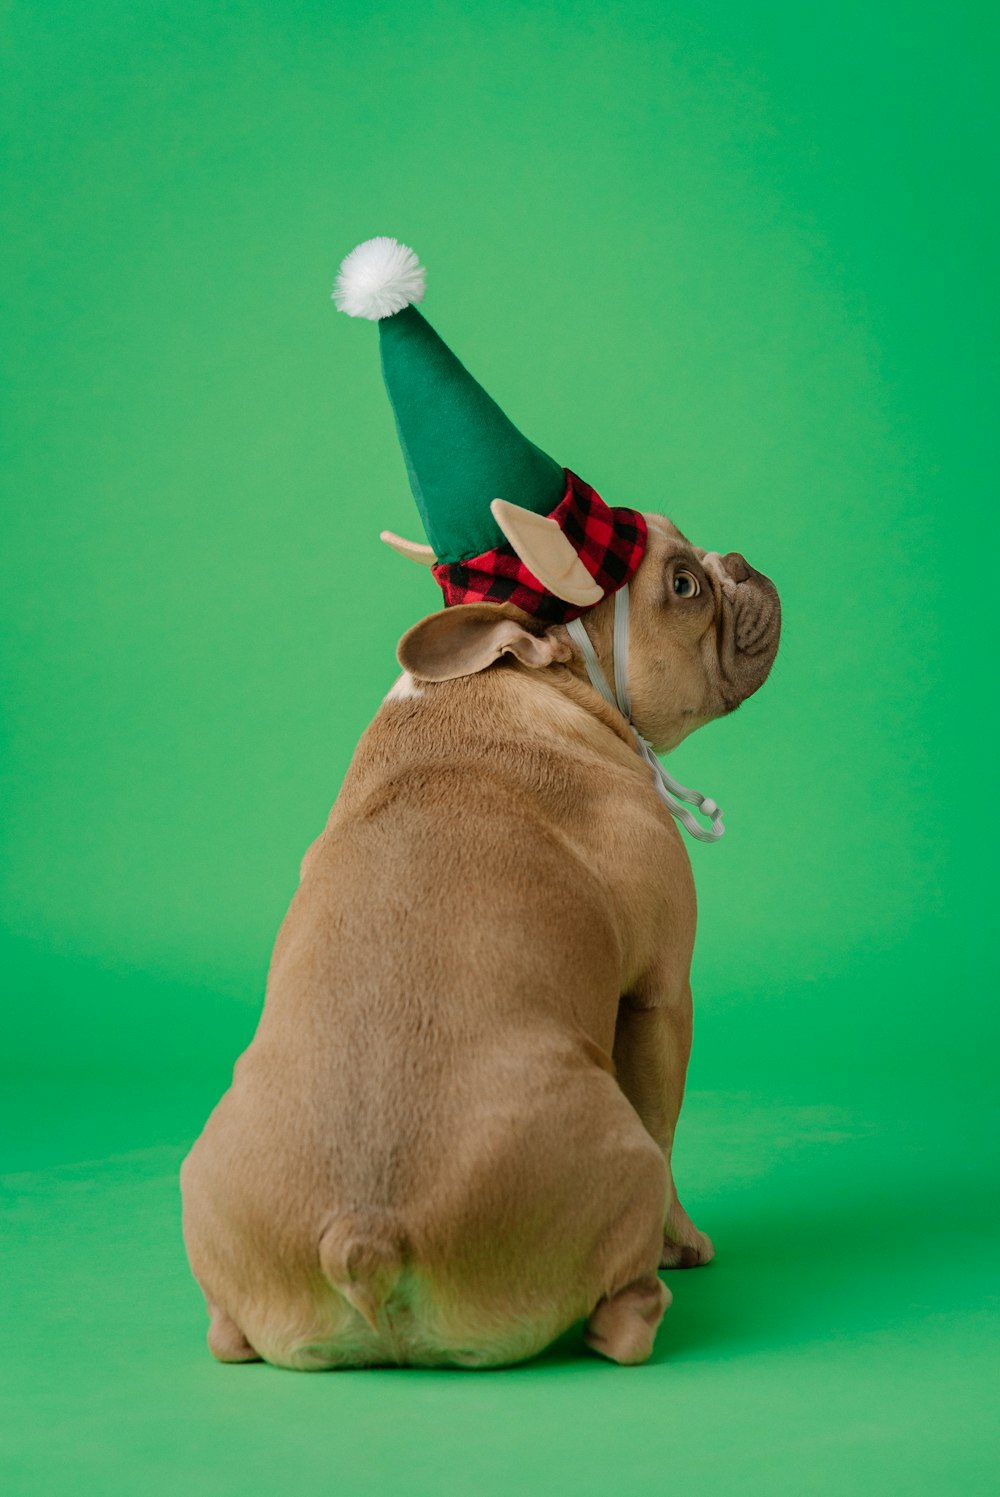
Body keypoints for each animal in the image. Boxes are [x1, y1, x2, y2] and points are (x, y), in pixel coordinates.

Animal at [181, 517, 778, 1371]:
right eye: (685, 584)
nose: (737, 562)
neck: (513, 683)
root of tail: (365, 1236)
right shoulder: (662, 993)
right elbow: (666, 1125)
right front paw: (684, 1242)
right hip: (611, 1160)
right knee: (622, 1303)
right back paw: (646, 1299)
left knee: (228, 1330)